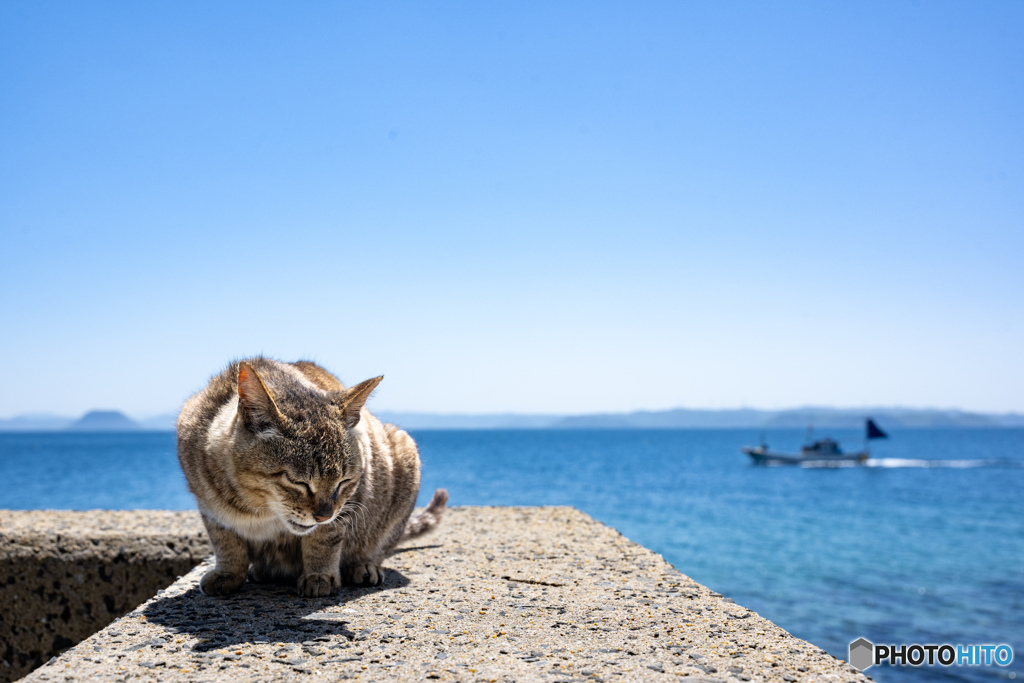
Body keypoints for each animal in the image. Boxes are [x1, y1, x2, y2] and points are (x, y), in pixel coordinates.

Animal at [177, 360, 448, 593]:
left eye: (343, 482)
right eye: (298, 482)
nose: (323, 515)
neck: (257, 507)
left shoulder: (346, 505)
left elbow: (325, 539)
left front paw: (320, 575)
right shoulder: (208, 507)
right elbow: (224, 541)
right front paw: (228, 572)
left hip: (404, 451)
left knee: (380, 544)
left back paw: (363, 565)